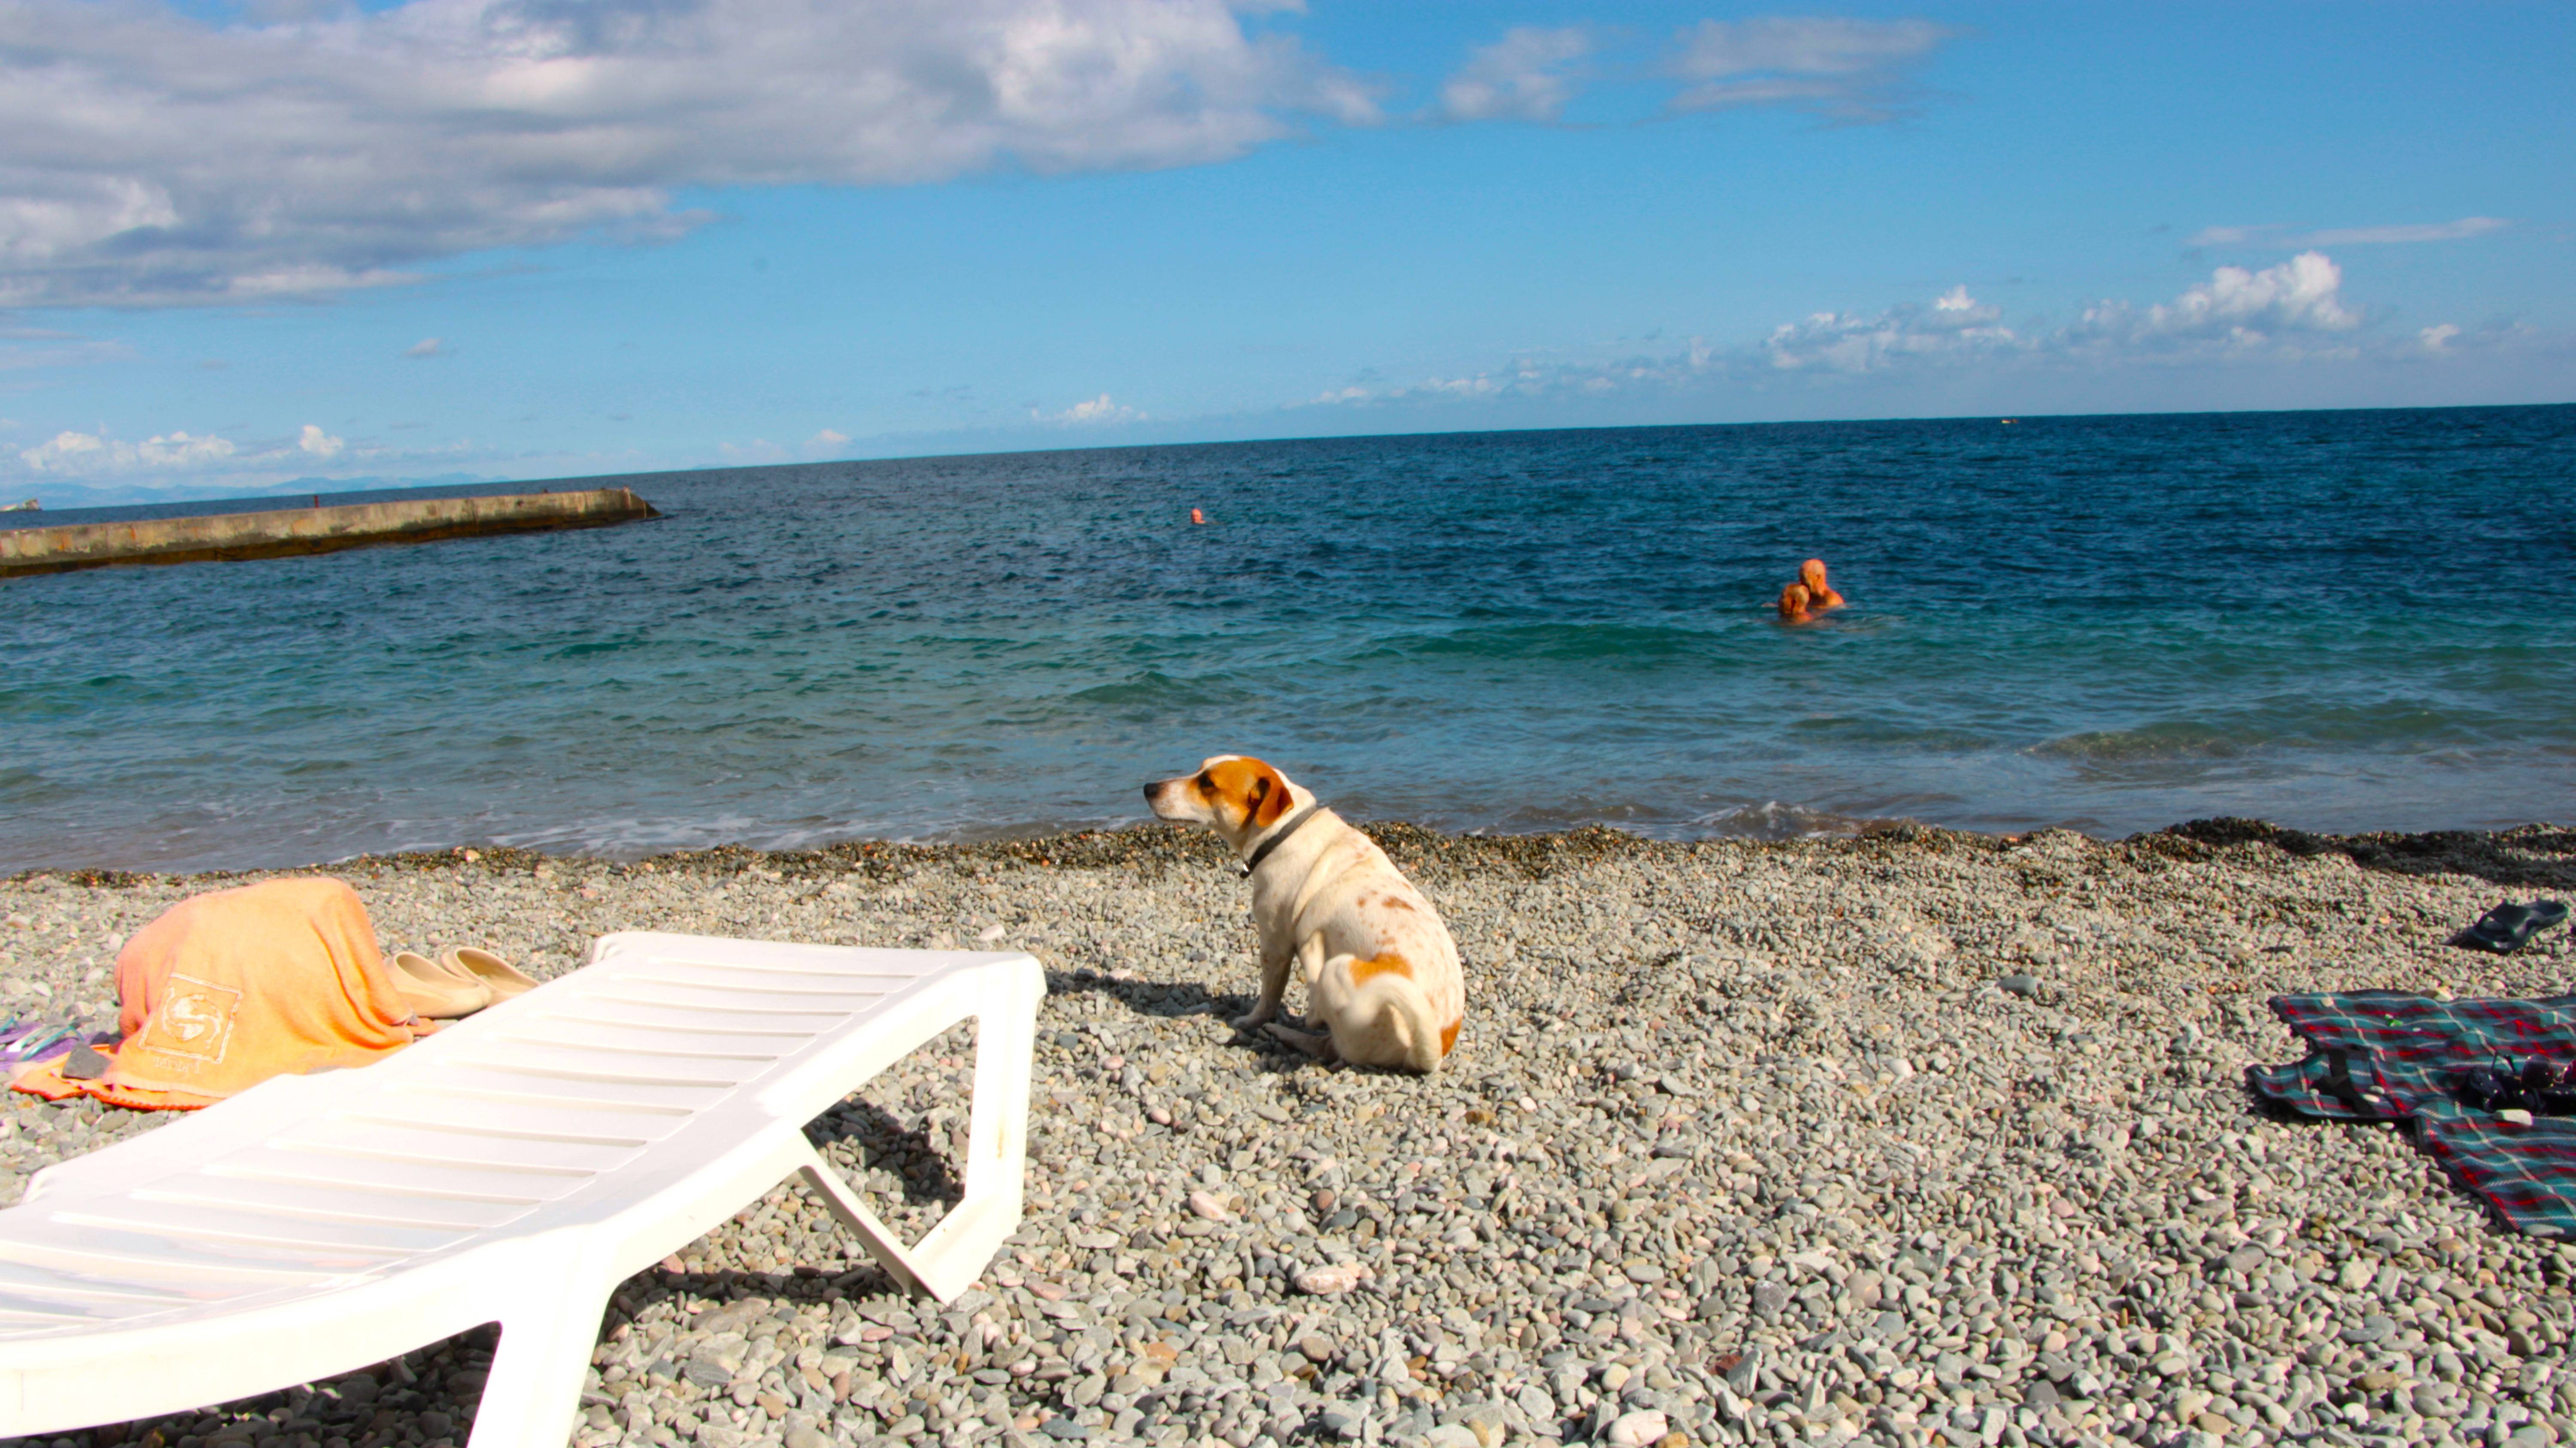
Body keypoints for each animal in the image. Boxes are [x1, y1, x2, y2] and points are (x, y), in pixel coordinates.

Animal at [1139, 747, 1463, 1067]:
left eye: (1208, 783)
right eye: (1199, 769)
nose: (1148, 787)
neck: (1283, 832)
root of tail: (1430, 1051)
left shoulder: (1275, 944)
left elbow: (1268, 999)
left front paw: (1251, 1021)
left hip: (1338, 970)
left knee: (1323, 1039)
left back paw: (1288, 1022)